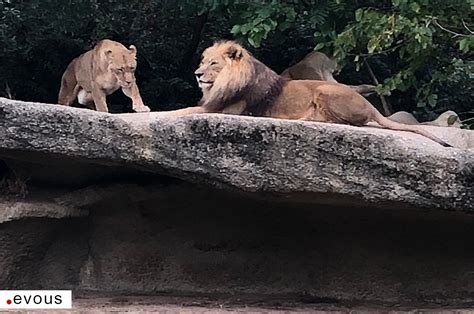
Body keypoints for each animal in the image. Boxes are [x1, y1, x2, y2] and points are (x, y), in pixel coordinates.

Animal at [164, 41, 452, 147]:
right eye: (203, 61)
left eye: (213, 63)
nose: (197, 74)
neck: (224, 81)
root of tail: (370, 106)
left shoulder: (226, 108)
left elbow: (183, 110)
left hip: (324, 89)